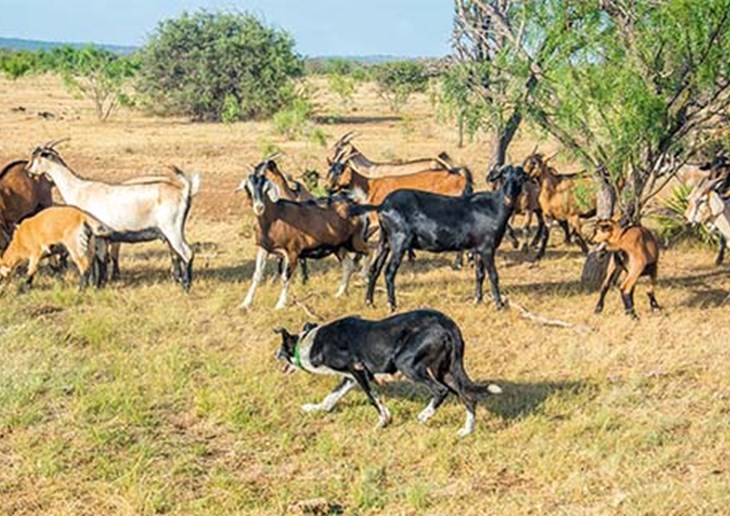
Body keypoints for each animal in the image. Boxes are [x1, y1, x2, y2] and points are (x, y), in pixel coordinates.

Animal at [25, 142, 201, 290]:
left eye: (36, 156)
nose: (28, 170)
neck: (78, 188)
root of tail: (184, 190)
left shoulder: (91, 234)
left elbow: (95, 259)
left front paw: (95, 285)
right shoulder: (101, 236)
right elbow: (100, 259)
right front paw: (99, 284)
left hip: (172, 229)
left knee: (187, 253)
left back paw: (186, 286)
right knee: (178, 254)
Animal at [238, 169, 369, 310]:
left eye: (266, 188)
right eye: (248, 188)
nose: (259, 207)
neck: (275, 218)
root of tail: (356, 203)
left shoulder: (292, 251)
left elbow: (285, 277)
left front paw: (280, 304)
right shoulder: (264, 248)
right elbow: (257, 275)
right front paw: (245, 304)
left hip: (355, 240)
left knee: (370, 250)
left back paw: (364, 275)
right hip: (339, 246)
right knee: (348, 265)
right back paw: (339, 293)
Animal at [349, 164, 527, 311]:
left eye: (520, 178)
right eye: (503, 177)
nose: (510, 195)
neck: (494, 207)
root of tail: (383, 205)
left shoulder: (478, 249)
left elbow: (479, 274)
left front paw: (477, 300)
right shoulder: (487, 248)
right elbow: (493, 275)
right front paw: (499, 304)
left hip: (385, 240)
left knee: (375, 269)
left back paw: (369, 302)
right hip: (399, 240)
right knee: (389, 271)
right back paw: (391, 305)